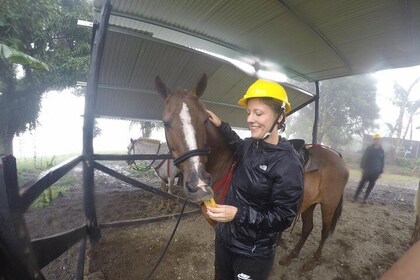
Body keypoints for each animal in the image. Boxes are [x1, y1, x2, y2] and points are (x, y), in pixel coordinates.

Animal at [156, 73, 350, 272]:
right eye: (166, 123)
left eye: (204, 120)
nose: (199, 185)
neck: (225, 166)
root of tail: (337, 156)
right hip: (310, 204)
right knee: (307, 228)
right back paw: (291, 257)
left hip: (328, 205)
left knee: (324, 231)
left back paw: (312, 261)